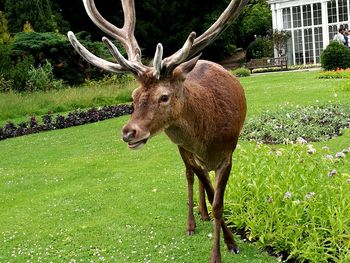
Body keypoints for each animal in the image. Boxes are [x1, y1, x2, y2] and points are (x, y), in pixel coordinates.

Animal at [68, 1, 247, 262]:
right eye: (133, 96)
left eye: (164, 96)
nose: (128, 132)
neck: (208, 138)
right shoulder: (190, 153)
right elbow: (209, 190)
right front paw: (222, 239)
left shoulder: (228, 154)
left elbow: (218, 204)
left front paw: (227, 247)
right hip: (182, 151)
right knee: (190, 176)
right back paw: (193, 221)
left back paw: (203, 214)